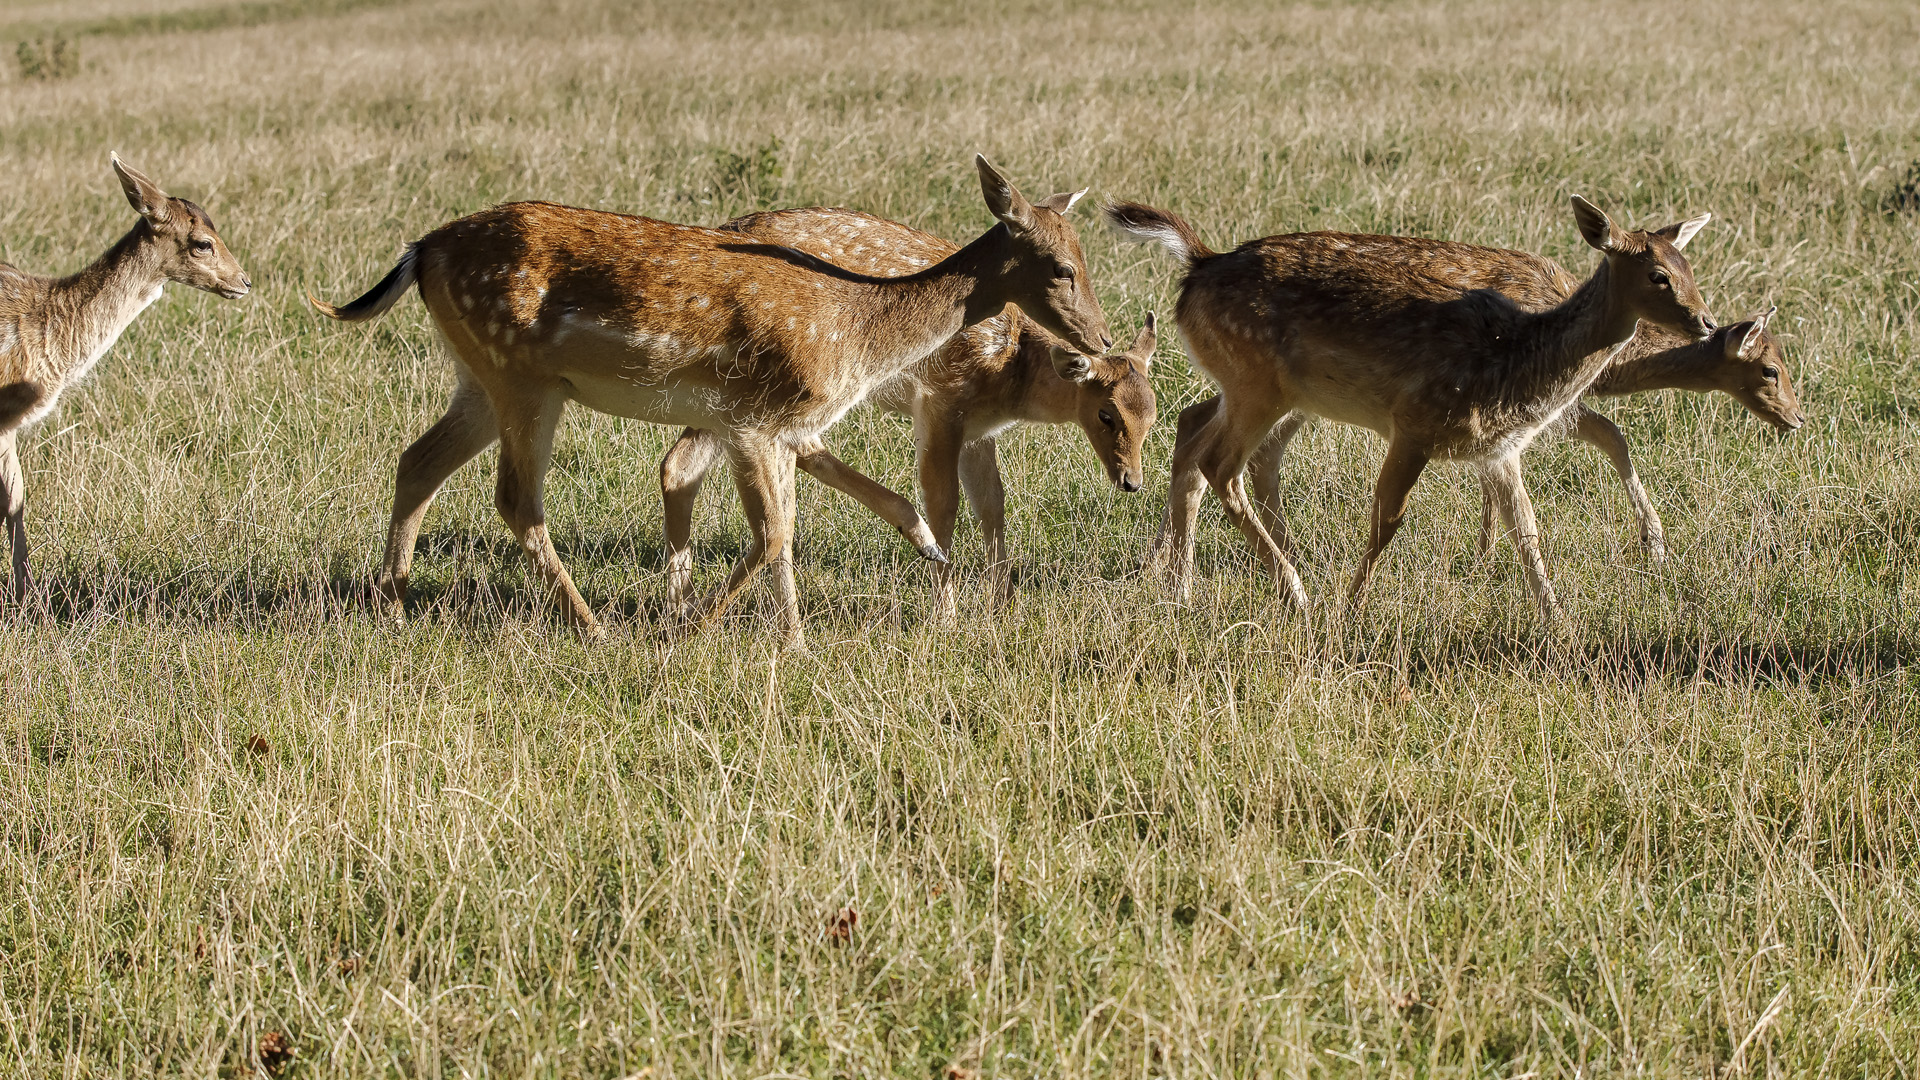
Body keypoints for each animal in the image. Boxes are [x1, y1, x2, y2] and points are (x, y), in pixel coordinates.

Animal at [660, 205, 1152, 618]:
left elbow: (992, 503)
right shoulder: (940, 403)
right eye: (1106, 414)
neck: (1012, 375)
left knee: (681, 464)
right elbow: (944, 504)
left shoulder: (981, 430)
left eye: (1153, 416)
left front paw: (1004, 608)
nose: (1132, 481)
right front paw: (947, 615)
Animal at [1105, 197, 1720, 626]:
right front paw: (1350, 608)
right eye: (1659, 275)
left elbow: (1527, 531)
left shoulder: (1500, 449)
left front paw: (1559, 620)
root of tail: (1195, 265)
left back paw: (1183, 586)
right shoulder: (1416, 422)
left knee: (1196, 435)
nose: (1706, 321)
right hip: (1257, 383)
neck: (1519, 355)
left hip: (1261, 390)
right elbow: (1386, 520)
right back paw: (1293, 591)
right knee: (1220, 463)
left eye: (1690, 265)